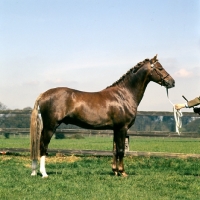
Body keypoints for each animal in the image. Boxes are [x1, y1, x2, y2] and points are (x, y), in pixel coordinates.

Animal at [30, 54, 175, 177]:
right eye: (160, 68)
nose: (172, 82)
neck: (124, 95)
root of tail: (43, 94)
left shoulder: (116, 129)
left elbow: (115, 149)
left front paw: (115, 171)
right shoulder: (122, 128)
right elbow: (121, 150)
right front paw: (122, 172)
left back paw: (34, 172)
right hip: (50, 127)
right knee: (43, 146)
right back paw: (43, 173)